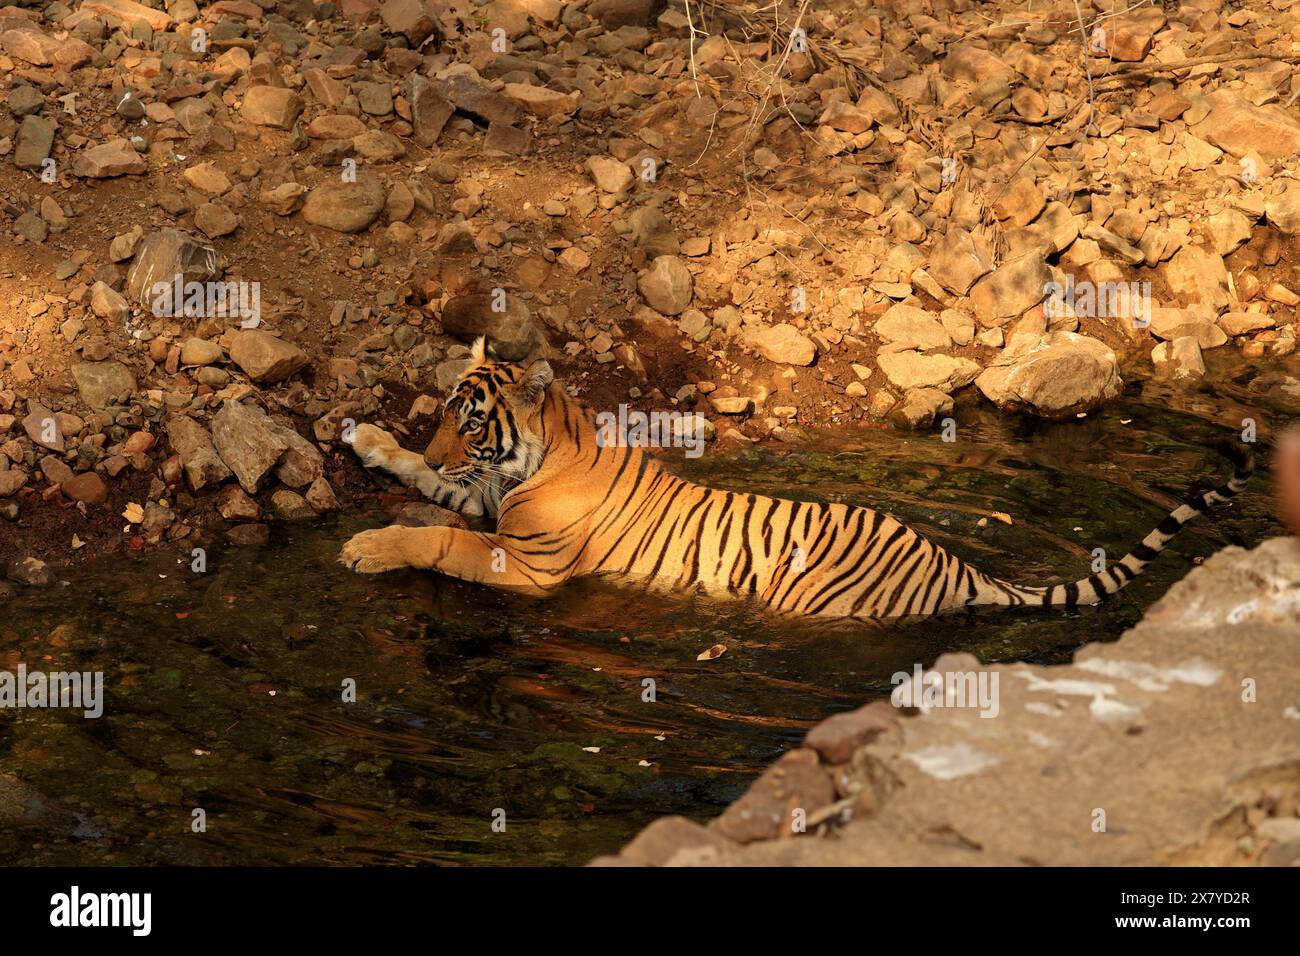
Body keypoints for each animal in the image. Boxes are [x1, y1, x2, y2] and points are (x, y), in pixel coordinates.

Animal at [340, 335, 1253, 621]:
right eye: (441, 414)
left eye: (471, 422)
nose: (444, 447)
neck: (540, 453)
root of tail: (960, 567)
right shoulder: (488, 497)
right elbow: (433, 492)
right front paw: (371, 439)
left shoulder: (529, 564)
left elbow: (440, 539)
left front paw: (364, 548)